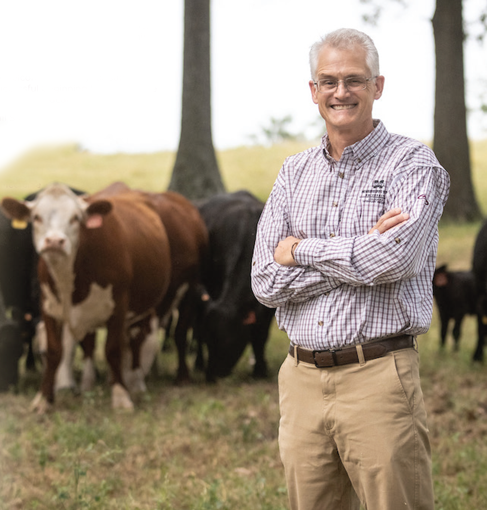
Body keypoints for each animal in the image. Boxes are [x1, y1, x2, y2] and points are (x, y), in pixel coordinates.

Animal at [0, 181, 173, 412]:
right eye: (36, 217)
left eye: (75, 218)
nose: (54, 241)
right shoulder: (48, 308)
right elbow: (55, 351)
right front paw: (44, 399)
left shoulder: (119, 307)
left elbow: (113, 349)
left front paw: (120, 396)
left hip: (142, 308)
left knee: (136, 341)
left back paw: (135, 382)